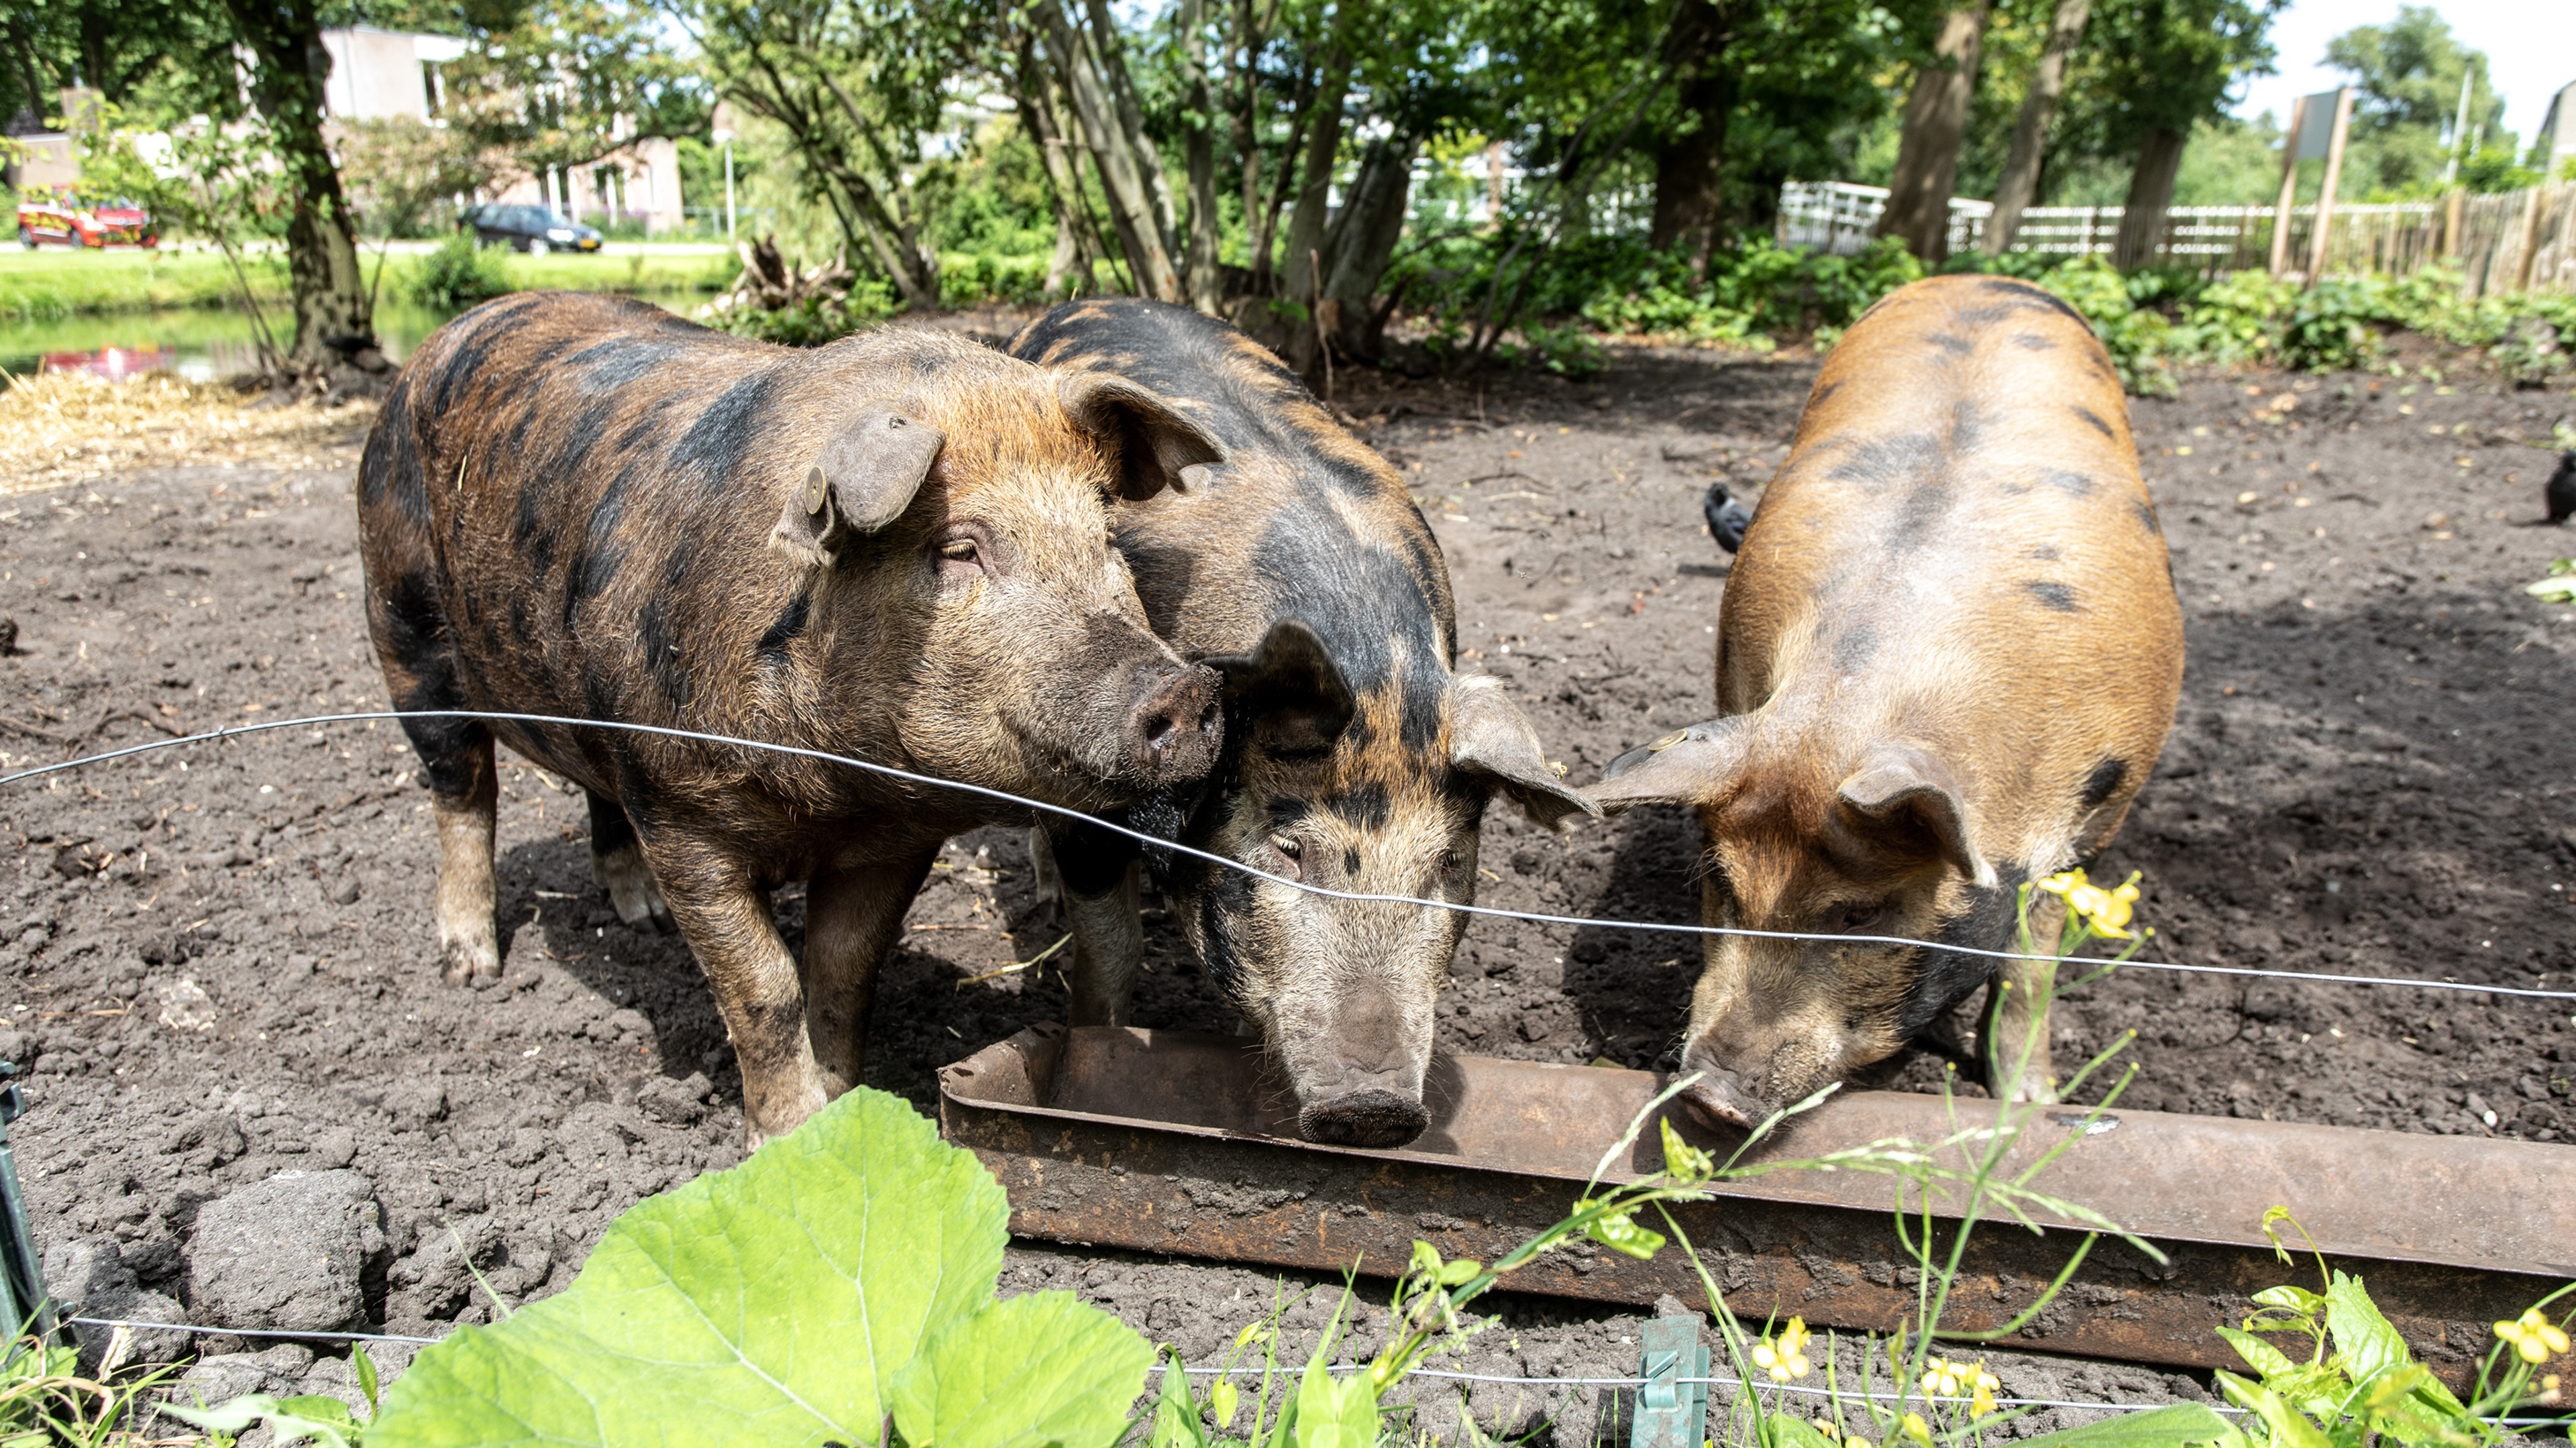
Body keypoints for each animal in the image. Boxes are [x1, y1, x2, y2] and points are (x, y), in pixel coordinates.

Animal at [357, 289, 1227, 1143]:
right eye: (958, 548)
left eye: (1107, 536)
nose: (1186, 689)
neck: (829, 790)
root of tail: (435, 346)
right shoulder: (679, 812)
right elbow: (764, 986)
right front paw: (781, 1139)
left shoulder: (891, 841)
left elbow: (842, 971)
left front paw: (841, 1113)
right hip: (404, 634)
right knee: (462, 791)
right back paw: (473, 967)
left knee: (593, 794)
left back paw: (643, 920)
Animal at [1008, 298, 1595, 1148]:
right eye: (1289, 850)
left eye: (1447, 863)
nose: (1377, 1109)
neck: (1377, 673)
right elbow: (1111, 952)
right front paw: (1097, 1049)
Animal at [1583, 274, 2184, 1127]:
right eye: (1723, 882)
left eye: (1862, 912)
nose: (1709, 1101)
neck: (1846, 715)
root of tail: (1976, 278)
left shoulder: (2104, 811)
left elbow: (2031, 961)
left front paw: (2028, 1106)